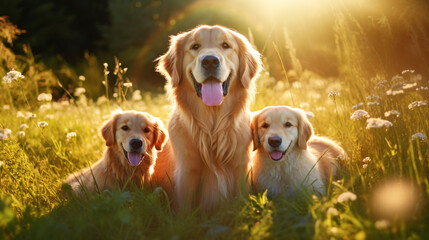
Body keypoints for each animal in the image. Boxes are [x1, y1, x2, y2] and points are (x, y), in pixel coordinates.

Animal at [154, 25, 260, 211]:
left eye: (225, 45)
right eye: (195, 46)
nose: (210, 61)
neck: (212, 126)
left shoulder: (240, 167)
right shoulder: (187, 171)